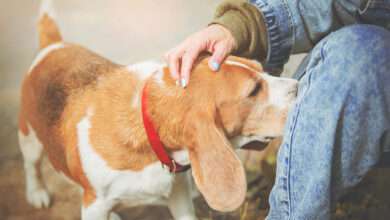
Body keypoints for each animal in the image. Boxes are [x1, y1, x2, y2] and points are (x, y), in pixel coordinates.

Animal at [18, 0, 298, 219]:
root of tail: (53, 46)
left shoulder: (179, 193)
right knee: (32, 167)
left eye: (260, 68)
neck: (147, 127)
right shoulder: (95, 204)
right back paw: (37, 192)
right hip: (29, 139)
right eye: (253, 90)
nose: (301, 86)